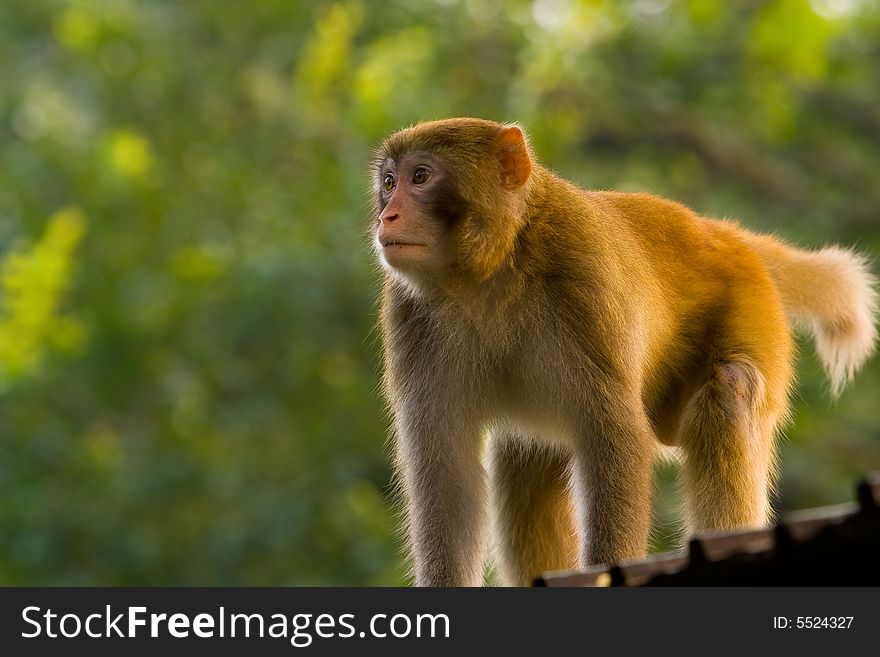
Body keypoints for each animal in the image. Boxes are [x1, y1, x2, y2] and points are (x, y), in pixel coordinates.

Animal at [370, 116, 872, 584]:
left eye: (421, 176)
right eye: (389, 183)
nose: (385, 217)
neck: (493, 269)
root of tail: (723, 233)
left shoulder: (583, 277)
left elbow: (616, 439)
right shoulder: (409, 316)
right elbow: (448, 478)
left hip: (753, 312)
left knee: (731, 387)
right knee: (527, 456)